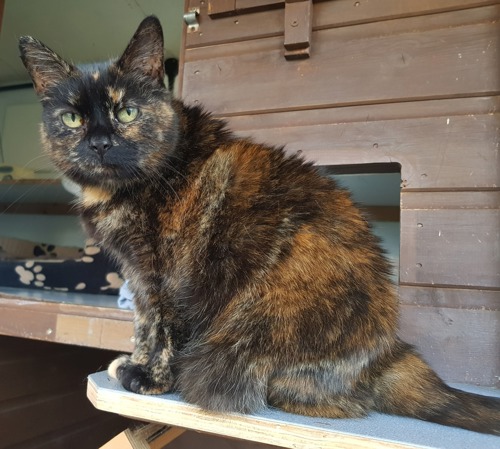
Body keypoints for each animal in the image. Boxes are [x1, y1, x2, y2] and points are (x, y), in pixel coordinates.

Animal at [19, 17, 500, 434]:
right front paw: (132, 360)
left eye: (127, 112)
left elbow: (162, 326)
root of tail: (389, 352)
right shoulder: (136, 274)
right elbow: (141, 322)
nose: (100, 143)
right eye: (72, 118)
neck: (118, 191)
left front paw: (151, 378)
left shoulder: (164, 274)